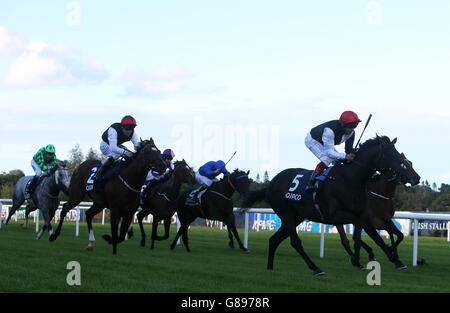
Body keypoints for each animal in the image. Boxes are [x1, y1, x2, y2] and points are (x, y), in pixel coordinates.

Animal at [244, 135, 420, 274]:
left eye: (403, 158)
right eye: (392, 155)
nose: (416, 178)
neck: (350, 179)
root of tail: (271, 184)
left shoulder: (362, 213)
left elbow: (370, 237)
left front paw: (391, 259)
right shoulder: (337, 216)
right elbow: (363, 233)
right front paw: (367, 257)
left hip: (296, 217)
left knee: (274, 239)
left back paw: (270, 267)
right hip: (286, 213)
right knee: (295, 242)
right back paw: (315, 268)